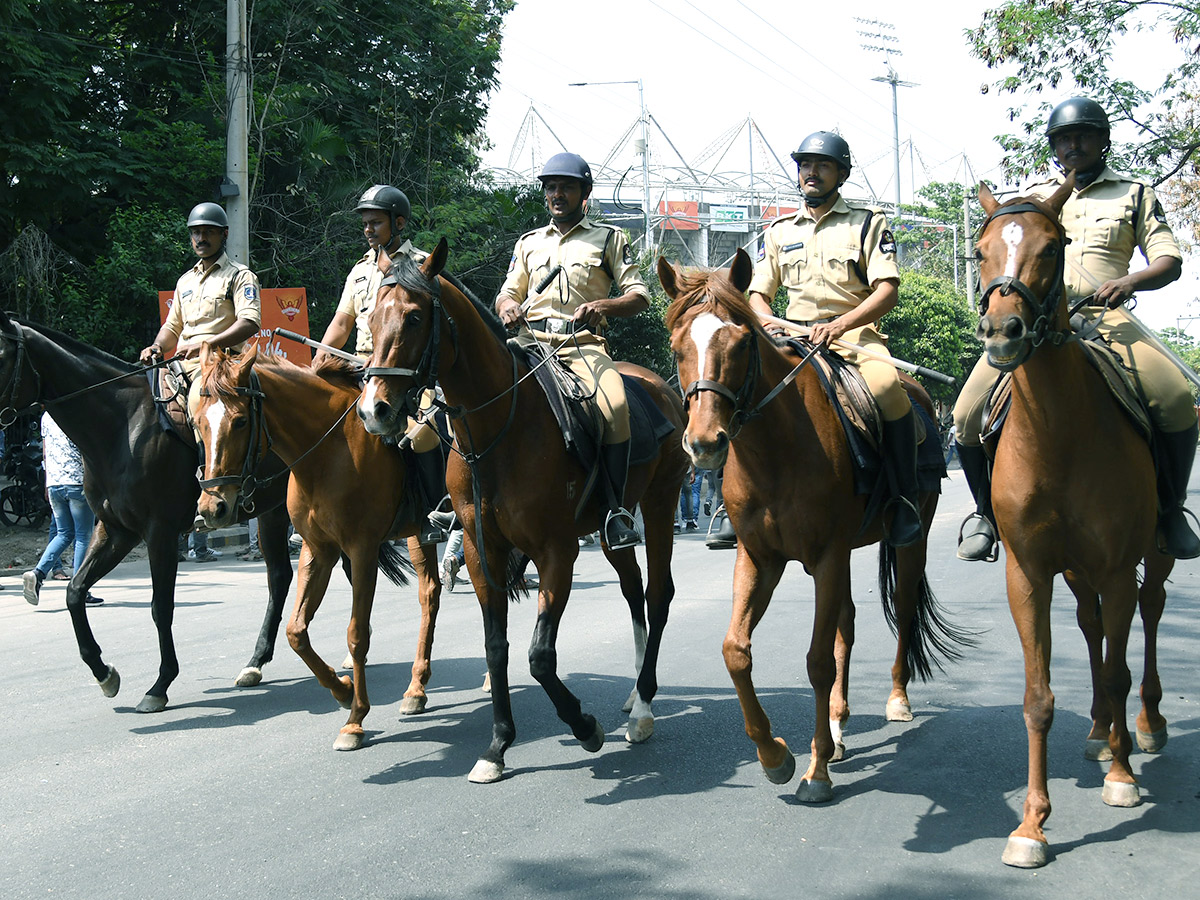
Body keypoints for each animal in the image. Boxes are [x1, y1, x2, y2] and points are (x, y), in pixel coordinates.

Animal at [0, 314, 292, 715]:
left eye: (0, 356)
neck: (121, 428)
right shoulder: (116, 530)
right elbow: (75, 592)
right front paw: (104, 673)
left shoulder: (159, 532)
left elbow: (160, 607)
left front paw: (160, 684)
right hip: (271, 509)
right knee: (280, 576)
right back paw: (256, 662)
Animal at [193, 348, 446, 753]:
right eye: (198, 422)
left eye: (241, 421)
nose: (212, 508)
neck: (329, 451)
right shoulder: (318, 550)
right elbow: (296, 631)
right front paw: (342, 691)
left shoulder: (362, 550)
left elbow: (357, 635)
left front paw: (355, 718)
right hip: (417, 532)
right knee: (429, 593)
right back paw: (416, 688)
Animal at [355, 240, 691, 782]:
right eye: (369, 315)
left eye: (413, 317)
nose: (373, 410)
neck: (499, 429)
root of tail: (661, 387)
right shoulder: (480, 549)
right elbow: (496, 648)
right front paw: (497, 745)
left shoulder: (557, 550)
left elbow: (539, 656)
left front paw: (584, 726)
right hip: (609, 526)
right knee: (632, 588)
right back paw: (632, 692)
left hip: (661, 503)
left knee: (658, 594)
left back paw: (642, 709)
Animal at [657, 247, 964, 801]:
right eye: (676, 345)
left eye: (740, 341)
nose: (705, 444)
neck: (776, 451)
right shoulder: (761, 558)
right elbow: (735, 650)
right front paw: (774, 755)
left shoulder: (825, 556)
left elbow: (818, 661)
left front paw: (815, 772)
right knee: (847, 622)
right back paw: (839, 727)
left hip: (909, 539)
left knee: (904, 608)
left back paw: (895, 700)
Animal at [974, 180, 1171, 868]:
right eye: (978, 249)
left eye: (1051, 247)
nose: (1002, 331)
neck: (1058, 434)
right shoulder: (1029, 573)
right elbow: (1038, 698)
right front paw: (1032, 825)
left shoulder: (1115, 567)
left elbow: (1117, 668)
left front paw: (1122, 777)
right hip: (1077, 572)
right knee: (1090, 627)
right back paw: (1098, 730)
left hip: (1149, 557)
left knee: (1149, 610)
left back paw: (1144, 728)